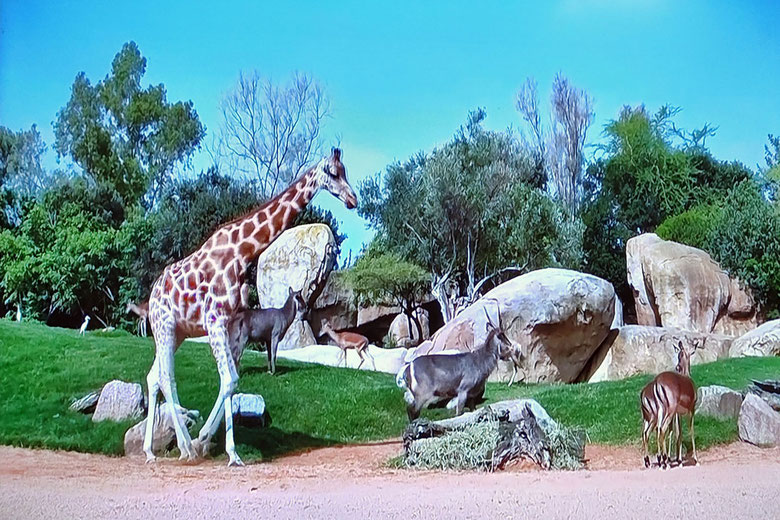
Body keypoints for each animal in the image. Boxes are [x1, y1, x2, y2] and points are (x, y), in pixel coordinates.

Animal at [143, 148, 357, 466]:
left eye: (345, 171)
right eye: (332, 172)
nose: (352, 199)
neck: (242, 252)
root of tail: (153, 293)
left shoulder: (232, 324)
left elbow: (230, 381)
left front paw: (206, 438)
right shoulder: (215, 320)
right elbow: (230, 379)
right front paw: (229, 452)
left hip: (179, 331)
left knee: (153, 377)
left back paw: (152, 450)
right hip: (164, 326)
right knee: (166, 378)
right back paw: (185, 448)